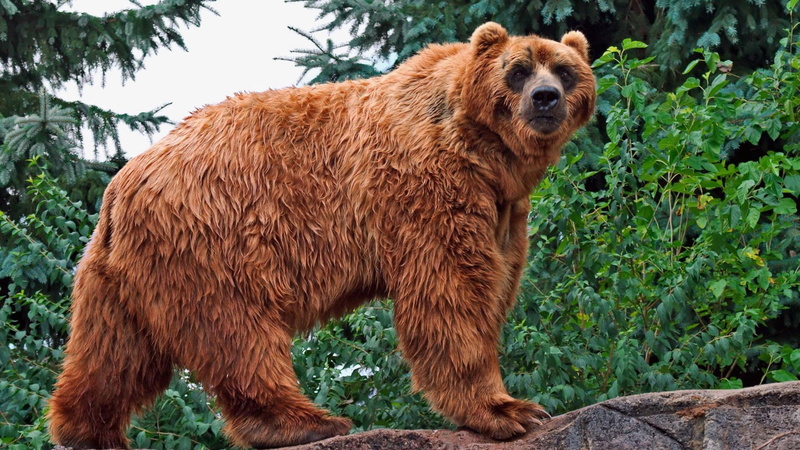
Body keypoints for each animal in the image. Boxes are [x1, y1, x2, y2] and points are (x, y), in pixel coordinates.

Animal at [48, 22, 596, 449]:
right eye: (517, 70)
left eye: (565, 70)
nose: (545, 98)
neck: (484, 152)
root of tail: (123, 184)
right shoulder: (427, 186)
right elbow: (450, 292)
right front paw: (511, 410)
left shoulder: (503, 207)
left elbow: (496, 280)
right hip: (214, 234)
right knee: (237, 330)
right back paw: (305, 422)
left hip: (122, 273)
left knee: (116, 351)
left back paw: (86, 431)